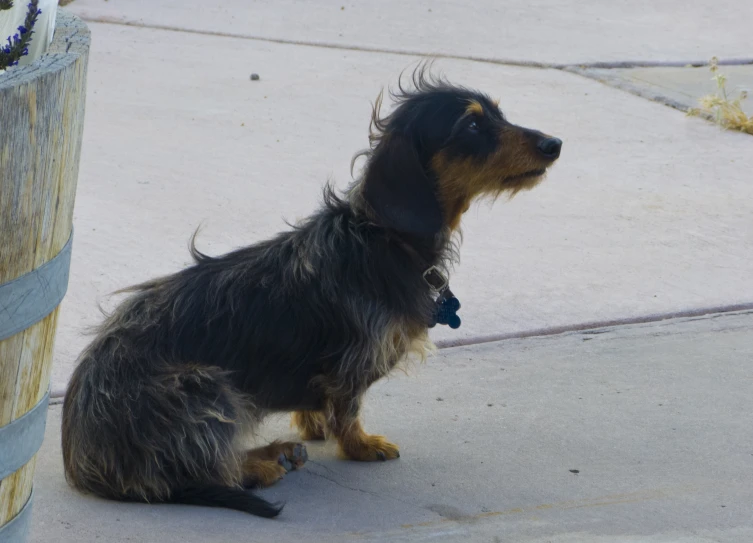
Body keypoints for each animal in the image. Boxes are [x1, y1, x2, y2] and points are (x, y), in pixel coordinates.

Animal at [63, 68, 560, 520]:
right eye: (472, 125)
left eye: (499, 113)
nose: (555, 144)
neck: (381, 238)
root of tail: (81, 459)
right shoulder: (353, 359)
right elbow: (349, 405)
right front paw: (360, 444)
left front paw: (312, 425)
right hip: (205, 387)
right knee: (204, 469)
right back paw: (264, 462)